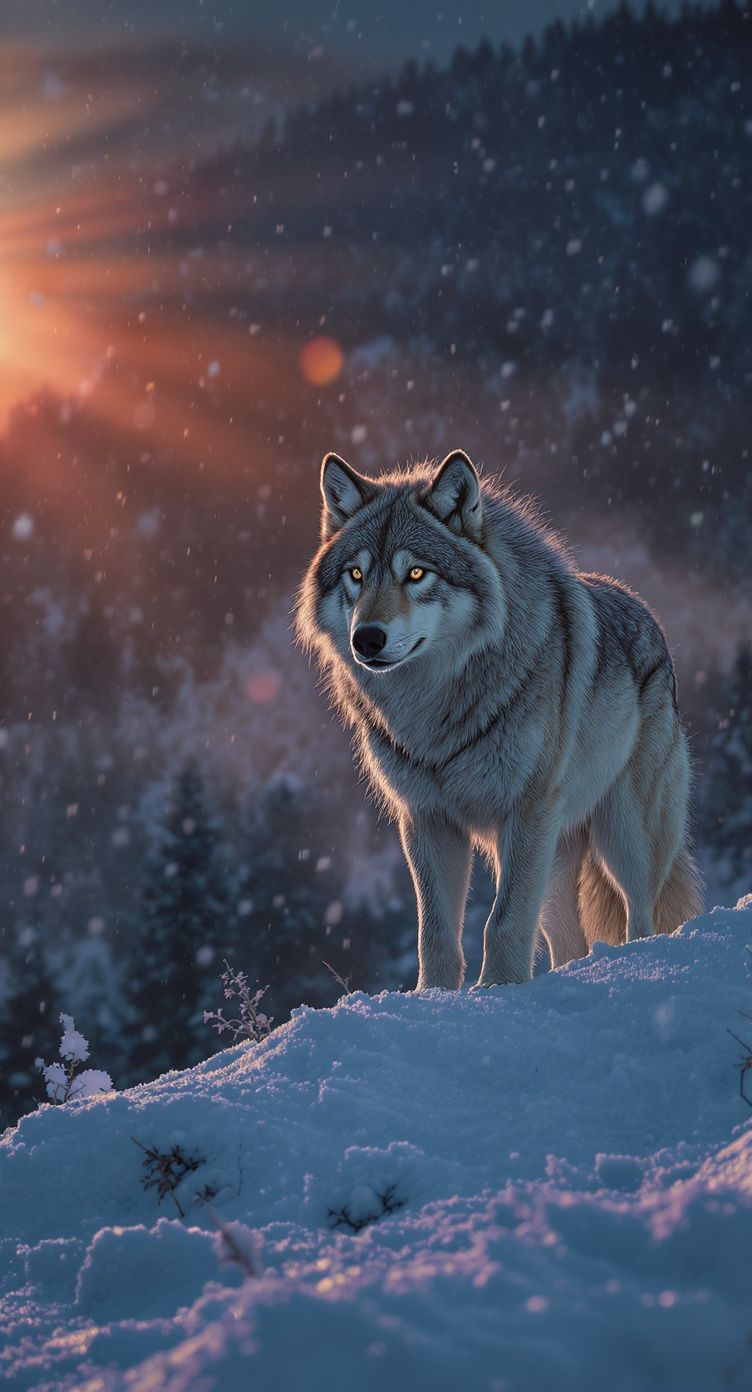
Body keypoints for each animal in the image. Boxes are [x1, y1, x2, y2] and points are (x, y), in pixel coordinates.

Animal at [294, 449, 703, 990]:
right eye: (356, 576)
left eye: (417, 574)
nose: (367, 639)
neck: (435, 709)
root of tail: (648, 613)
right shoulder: (426, 820)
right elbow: (435, 931)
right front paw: (433, 996)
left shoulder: (524, 812)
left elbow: (502, 921)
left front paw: (495, 990)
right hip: (556, 862)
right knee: (570, 941)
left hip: (624, 834)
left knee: (642, 913)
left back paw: (640, 964)